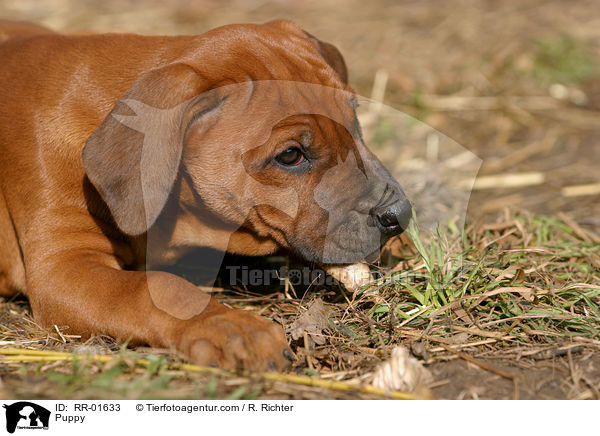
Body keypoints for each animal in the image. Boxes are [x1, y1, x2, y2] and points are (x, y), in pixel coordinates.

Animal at [0, 19, 412, 368]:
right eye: (290, 155)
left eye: (354, 123)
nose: (400, 215)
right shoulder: (63, 268)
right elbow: (156, 288)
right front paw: (231, 328)